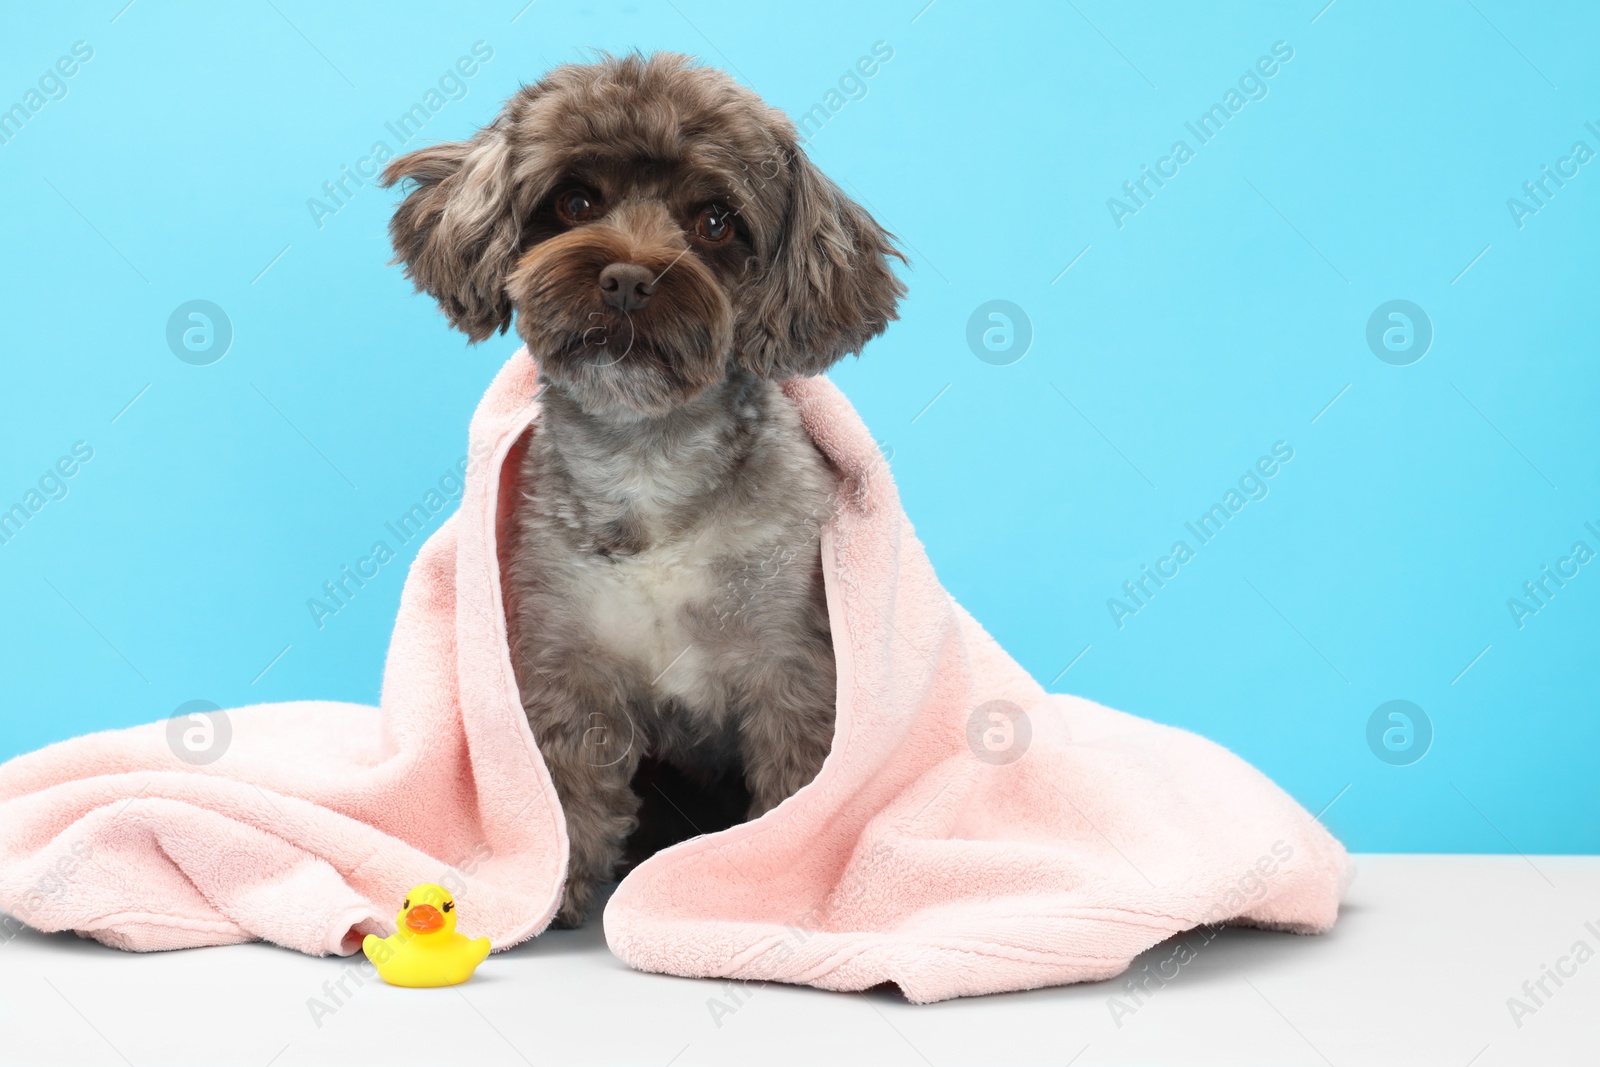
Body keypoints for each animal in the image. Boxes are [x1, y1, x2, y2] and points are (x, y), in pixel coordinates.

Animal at [376, 51, 902, 927]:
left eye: (717, 222)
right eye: (576, 201)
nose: (625, 278)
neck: (648, 459)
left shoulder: (793, 671)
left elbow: (799, 789)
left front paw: (766, 885)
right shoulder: (566, 665)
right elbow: (566, 792)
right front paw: (551, 887)